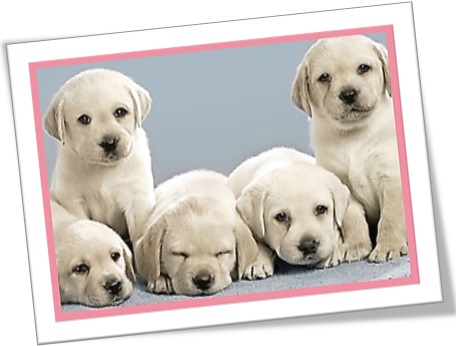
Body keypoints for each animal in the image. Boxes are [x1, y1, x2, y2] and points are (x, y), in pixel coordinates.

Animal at [43, 67, 156, 246]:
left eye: (120, 112)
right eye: (84, 119)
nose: (109, 143)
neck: (103, 170)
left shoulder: (137, 200)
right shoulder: (74, 200)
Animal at [226, 147, 372, 278]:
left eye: (321, 209)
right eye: (281, 216)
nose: (308, 245)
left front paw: (331, 254)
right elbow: (256, 242)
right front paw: (256, 263)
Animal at [290, 35, 408, 262]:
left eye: (363, 68)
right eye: (324, 77)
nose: (349, 94)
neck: (353, 135)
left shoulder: (391, 177)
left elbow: (391, 217)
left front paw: (389, 246)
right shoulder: (341, 184)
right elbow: (352, 218)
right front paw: (355, 246)